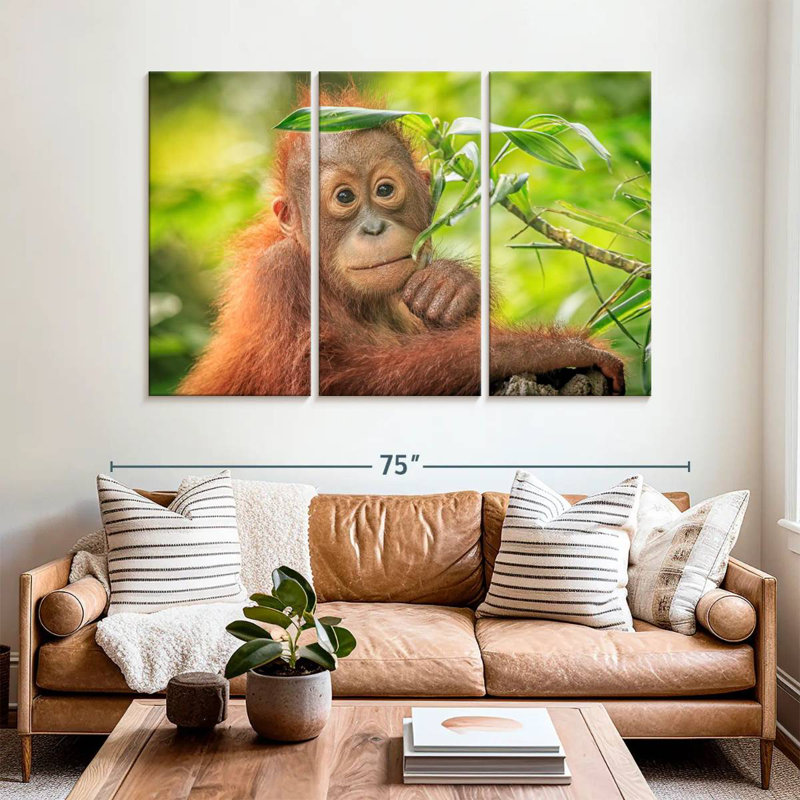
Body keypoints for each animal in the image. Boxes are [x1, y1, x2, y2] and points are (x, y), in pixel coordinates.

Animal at [178, 95, 624, 397]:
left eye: (385, 190)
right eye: (344, 197)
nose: (374, 227)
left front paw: (450, 288)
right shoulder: (278, 276)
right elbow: (333, 378)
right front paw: (553, 350)